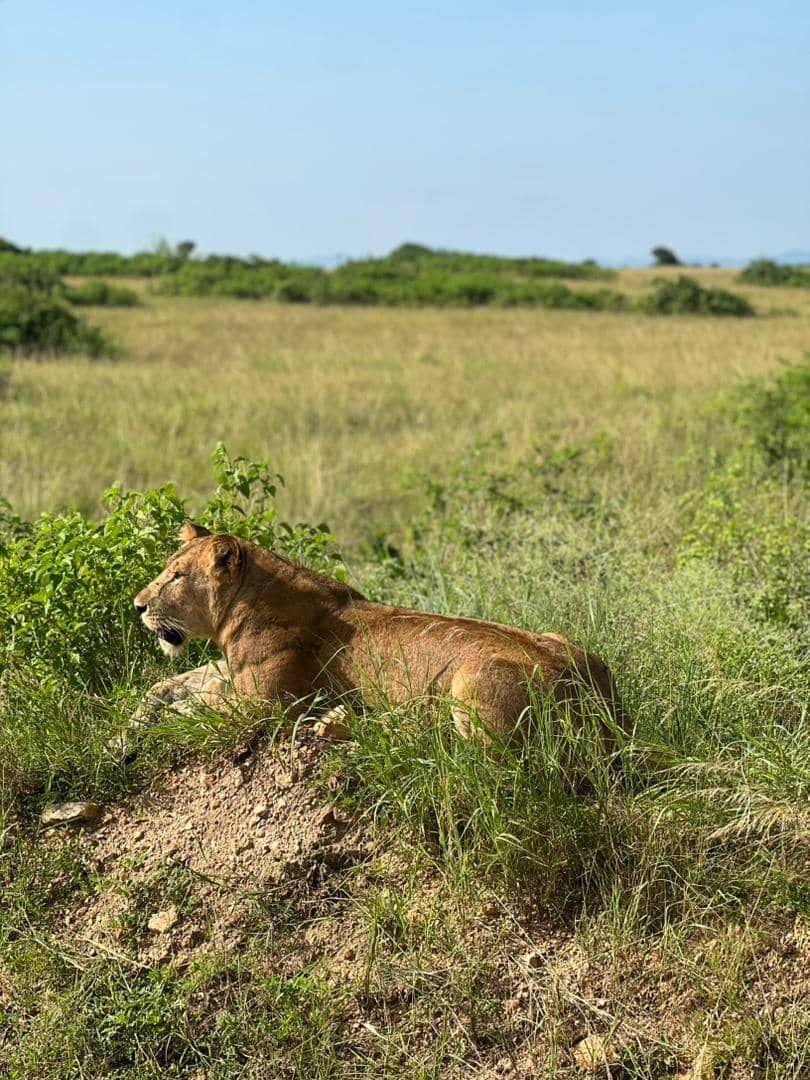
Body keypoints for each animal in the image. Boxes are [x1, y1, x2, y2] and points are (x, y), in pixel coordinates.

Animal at [133, 523, 625, 745]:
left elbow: (200, 708)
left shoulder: (264, 704)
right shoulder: (232, 670)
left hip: (471, 683)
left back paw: (355, 721)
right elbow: (180, 683)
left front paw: (159, 720)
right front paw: (140, 712)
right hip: (561, 639)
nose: (138, 606)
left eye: (175, 576)